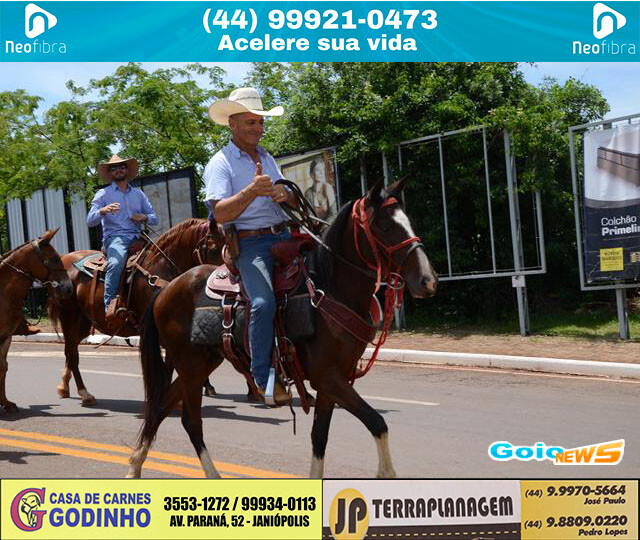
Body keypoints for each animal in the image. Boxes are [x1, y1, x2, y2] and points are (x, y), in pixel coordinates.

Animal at [48, 218, 223, 406]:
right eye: (214, 247)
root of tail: (64, 259)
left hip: (83, 323)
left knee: (70, 350)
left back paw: (64, 387)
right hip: (69, 317)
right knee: (72, 354)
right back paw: (85, 393)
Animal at [126, 178, 437, 478]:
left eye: (409, 221)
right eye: (384, 226)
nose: (428, 281)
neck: (328, 290)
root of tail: (166, 289)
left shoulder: (335, 380)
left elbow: (319, 436)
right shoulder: (327, 377)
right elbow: (377, 422)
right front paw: (387, 472)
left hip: (202, 363)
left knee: (161, 407)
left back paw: (134, 467)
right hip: (190, 366)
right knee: (191, 422)